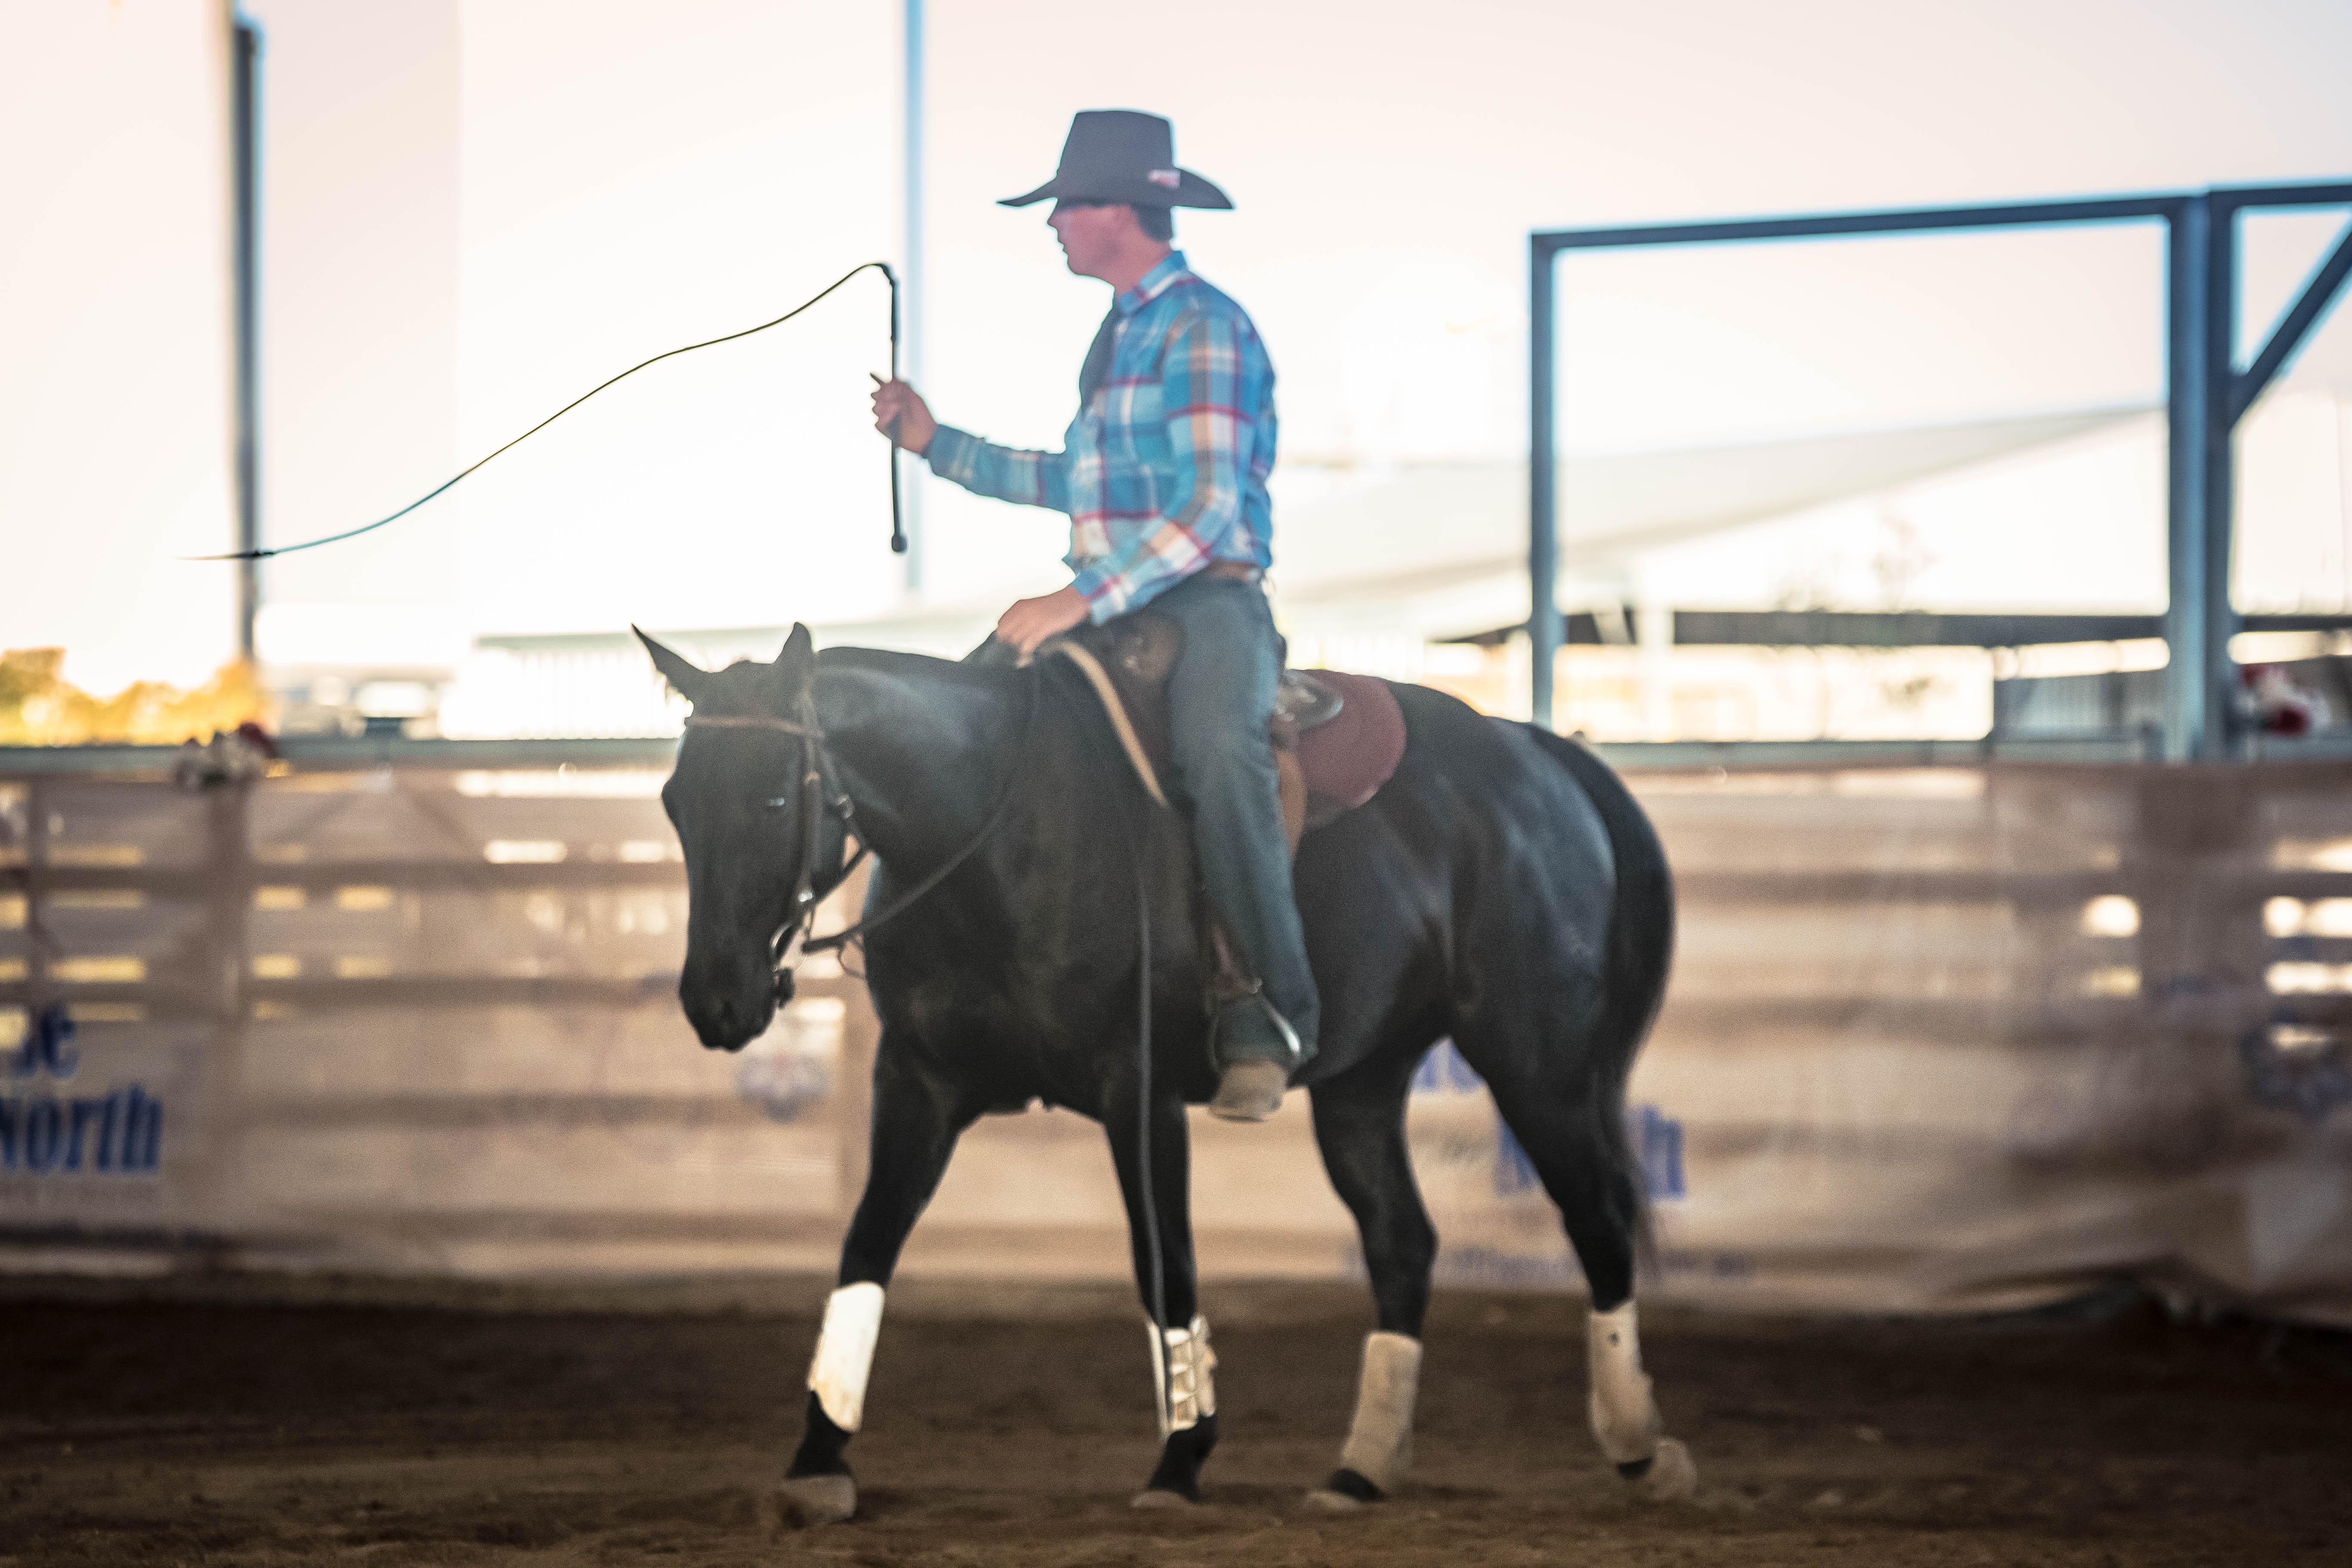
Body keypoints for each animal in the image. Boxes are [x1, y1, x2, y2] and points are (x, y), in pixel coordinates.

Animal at [636, 622, 1697, 1525]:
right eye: (675, 803)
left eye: (776, 798)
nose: (716, 1000)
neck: (994, 826)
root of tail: (1538, 753)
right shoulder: (918, 1082)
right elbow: (866, 1249)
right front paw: (818, 1458)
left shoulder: (1138, 1094)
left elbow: (1165, 1267)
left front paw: (1181, 1459)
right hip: (1364, 1080)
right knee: (1403, 1242)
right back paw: (1359, 1468)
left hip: (1537, 1056)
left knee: (1598, 1215)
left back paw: (1641, 1444)